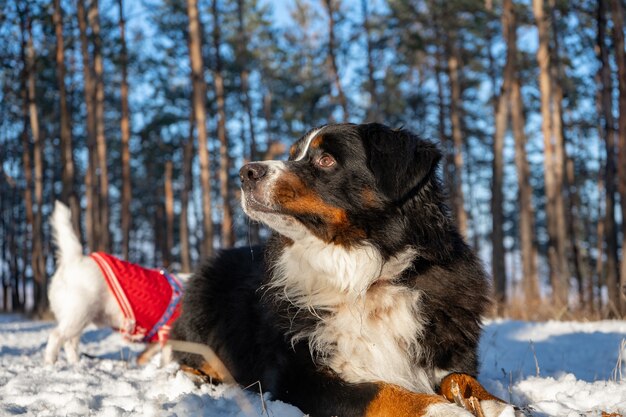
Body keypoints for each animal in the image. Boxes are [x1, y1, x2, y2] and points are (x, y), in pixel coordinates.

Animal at [44, 202, 182, 364]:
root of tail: (74, 259)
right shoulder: (169, 334)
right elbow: (168, 357)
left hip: (77, 319)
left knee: (69, 342)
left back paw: (76, 363)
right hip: (78, 315)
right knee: (56, 336)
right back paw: (50, 363)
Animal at [168, 122, 516, 416]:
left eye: (325, 160)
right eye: (293, 156)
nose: (245, 172)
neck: (363, 277)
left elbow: (461, 377)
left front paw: (494, 403)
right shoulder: (301, 376)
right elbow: (382, 391)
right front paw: (443, 410)